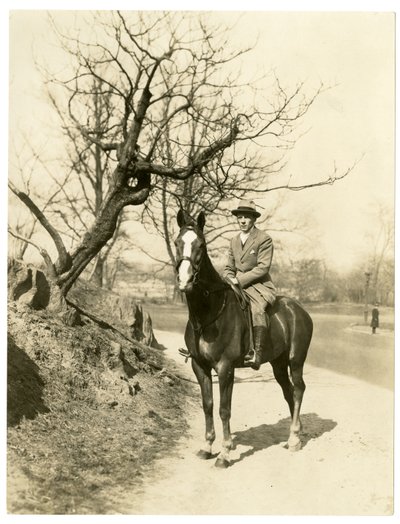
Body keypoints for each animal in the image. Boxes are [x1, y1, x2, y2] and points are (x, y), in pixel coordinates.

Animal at [175, 211, 312, 468]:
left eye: (201, 245)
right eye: (178, 242)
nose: (184, 281)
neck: (208, 313)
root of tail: (299, 309)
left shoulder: (226, 368)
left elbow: (224, 409)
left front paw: (224, 453)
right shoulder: (200, 367)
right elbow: (207, 405)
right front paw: (207, 446)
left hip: (296, 360)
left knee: (298, 389)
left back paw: (294, 439)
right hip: (278, 364)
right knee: (288, 392)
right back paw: (293, 434)